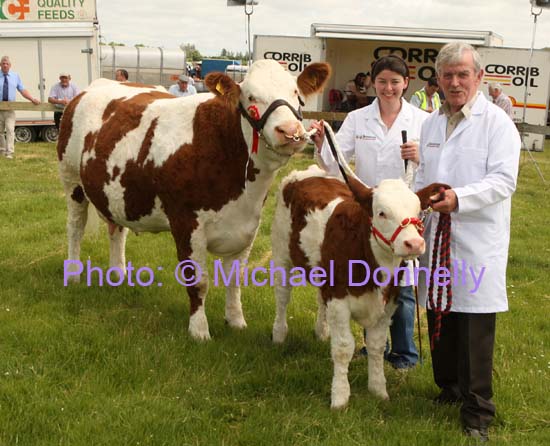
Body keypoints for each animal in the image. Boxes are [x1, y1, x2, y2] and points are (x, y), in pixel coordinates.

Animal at [58, 58, 332, 338]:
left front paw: (236, 320)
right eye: (250, 96)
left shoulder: (248, 226)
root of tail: (91, 88)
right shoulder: (186, 222)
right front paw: (199, 330)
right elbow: (198, 280)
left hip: (114, 192)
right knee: (75, 228)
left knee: (116, 230)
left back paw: (118, 274)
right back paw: (73, 274)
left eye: (296, 93)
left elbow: (236, 279)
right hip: (72, 180)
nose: (289, 131)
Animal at [272, 166, 448, 408]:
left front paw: (378, 390)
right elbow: (343, 348)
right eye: (382, 213)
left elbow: (376, 345)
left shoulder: (388, 303)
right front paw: (340, 396)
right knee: (282, 296)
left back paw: (321, 331)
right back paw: (279, 335)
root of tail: (308, 172)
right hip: (282, 252)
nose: (414, 243)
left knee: (320, 299)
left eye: (417, 209)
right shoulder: (338, 299)